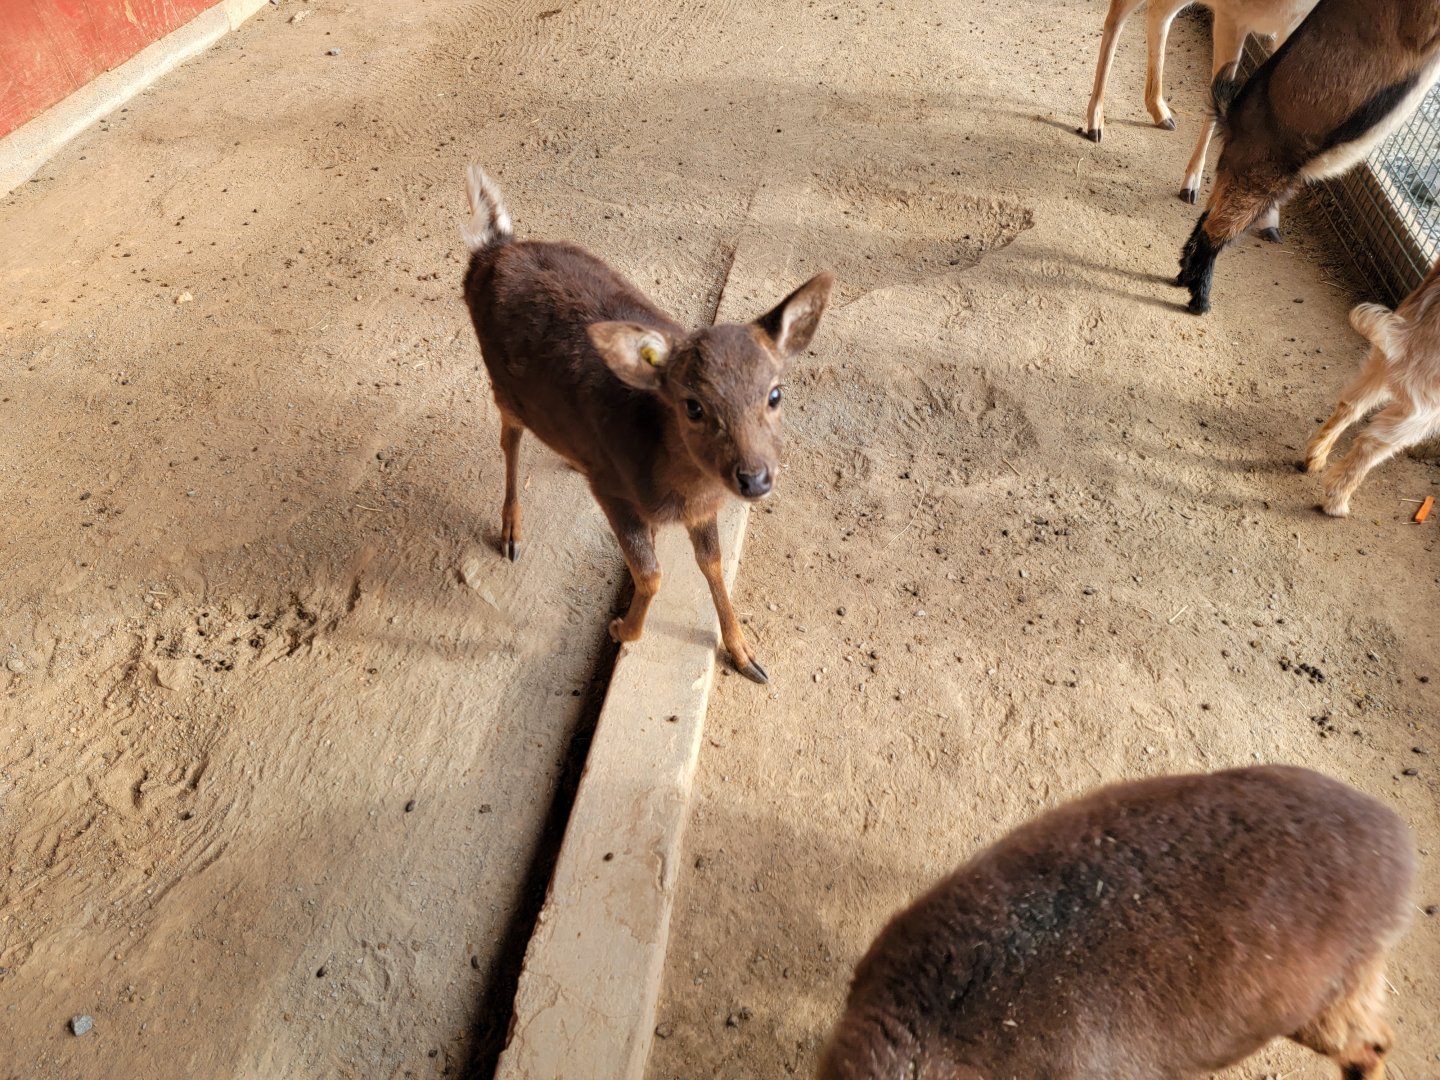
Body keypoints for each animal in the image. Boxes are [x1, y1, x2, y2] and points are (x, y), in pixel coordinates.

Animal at [459, 166, 833, 684]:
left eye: (775, 394)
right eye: (692, 406)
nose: (754, 479)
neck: (676, 488)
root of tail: (492, 247)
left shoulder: (702, 508)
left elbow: (712, 562)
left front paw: (746, 656)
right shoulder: (614, 492)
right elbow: (651, 573)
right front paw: (620, 628)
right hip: (501, 383)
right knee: (509, 437)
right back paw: (511, 532)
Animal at [1081, 0, 1317, 242]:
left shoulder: (1293, 25)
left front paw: (1269, 221)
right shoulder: (1230, 16)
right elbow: (1217, 92)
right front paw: (1190, 186)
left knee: (1158, 12)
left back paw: (1161, 113)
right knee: (1116, 17)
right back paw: (1095, 122)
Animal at [1175, 0, 1440, 314]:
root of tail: (1232, 116)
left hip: (1241, 174)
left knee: (1207, 216)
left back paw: (1183, 277)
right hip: (1257, 178)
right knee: (1215, 231)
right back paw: (1200, 300)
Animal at [1304, 258, 1440, 515]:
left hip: (1382, 359)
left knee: (1350, 405)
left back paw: (1316, 457)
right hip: (1427, 401)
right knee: (1373, 442)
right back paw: (1337, 501)